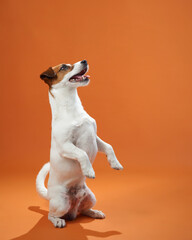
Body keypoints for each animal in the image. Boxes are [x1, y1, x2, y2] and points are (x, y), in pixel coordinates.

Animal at [36, 59, 123, 227]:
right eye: (64, 67)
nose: (84, 60)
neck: (72, 109)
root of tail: (49, 195)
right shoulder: (65, 146)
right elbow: (82, 153)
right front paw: (88, 170)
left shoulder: (95, 138)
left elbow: (109, 147)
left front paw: (115, 163)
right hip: (61, 203)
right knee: (50, 214)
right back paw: (58, 221)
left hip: (90, 197)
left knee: (84, 210)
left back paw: (95, 212)